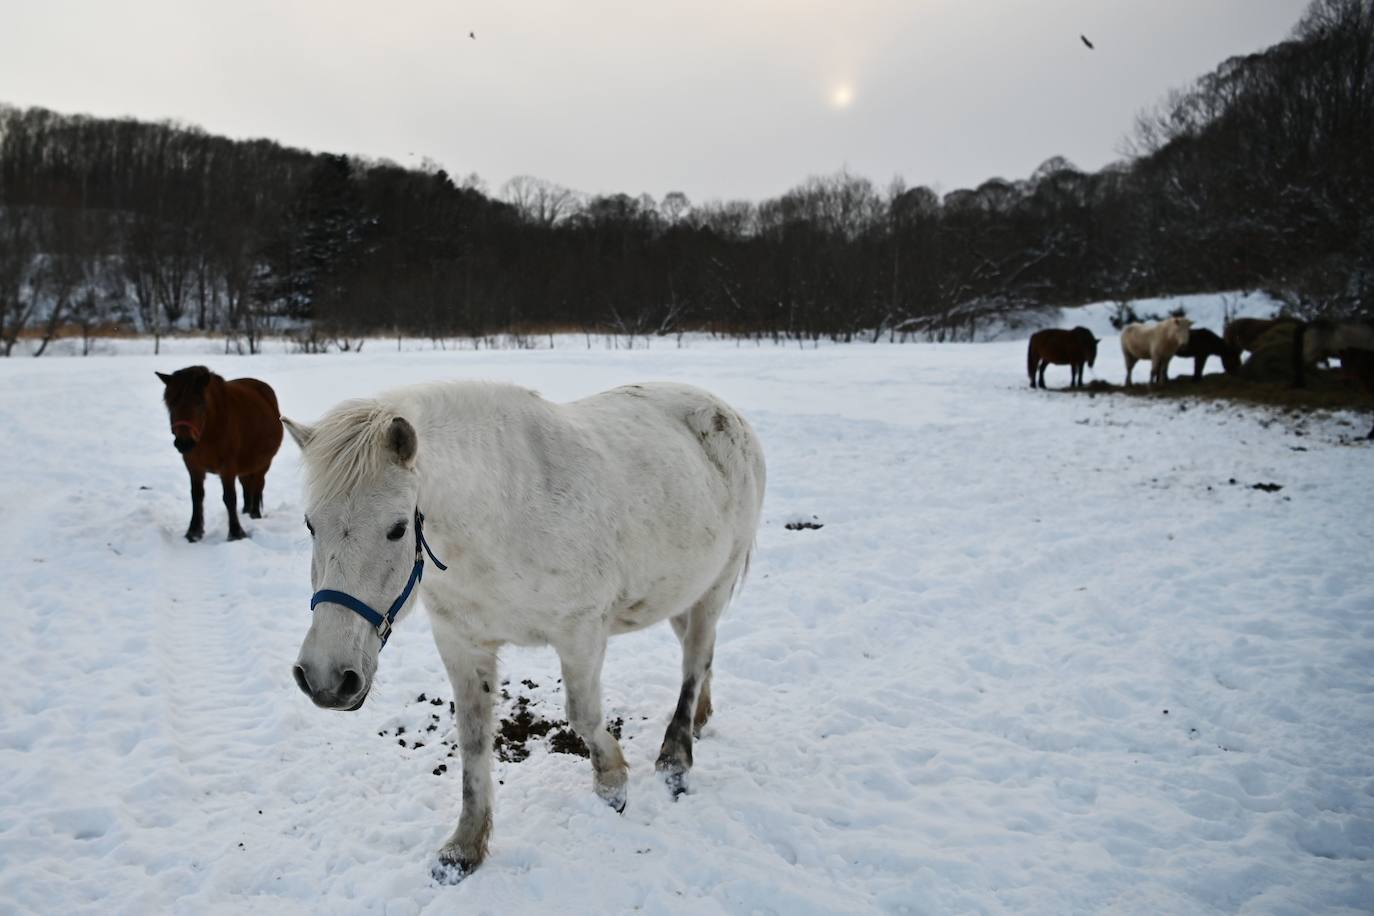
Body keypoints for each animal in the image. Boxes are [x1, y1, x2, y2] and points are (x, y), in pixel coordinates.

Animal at [157, 362, 283, 541]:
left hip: (263, 463)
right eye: (171, 404)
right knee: (247, 485)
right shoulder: (193, 466)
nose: (184, 443)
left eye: (200, 404)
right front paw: (193, 532)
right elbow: (197, 496)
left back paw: (254, 514)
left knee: (258, 485)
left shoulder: (227, 467)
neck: (210, 430)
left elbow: (229, 497)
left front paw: (236, 533)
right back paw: (245, 512)